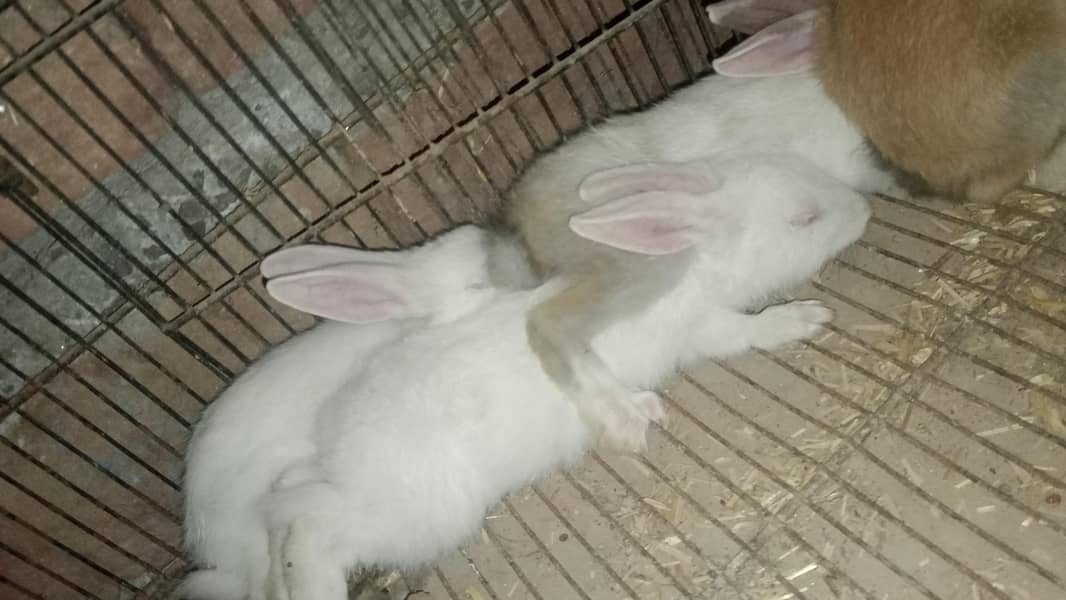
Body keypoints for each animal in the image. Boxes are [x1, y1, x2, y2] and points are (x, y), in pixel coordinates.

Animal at [257, 153, 872, 600]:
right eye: (803, 219)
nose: (865, 209)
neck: (697, 260)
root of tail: (343, 457)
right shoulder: (705, 326)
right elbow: (748, 331)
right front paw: (806, 318)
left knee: (287, 500)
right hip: (413, 518)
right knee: (313, 529)